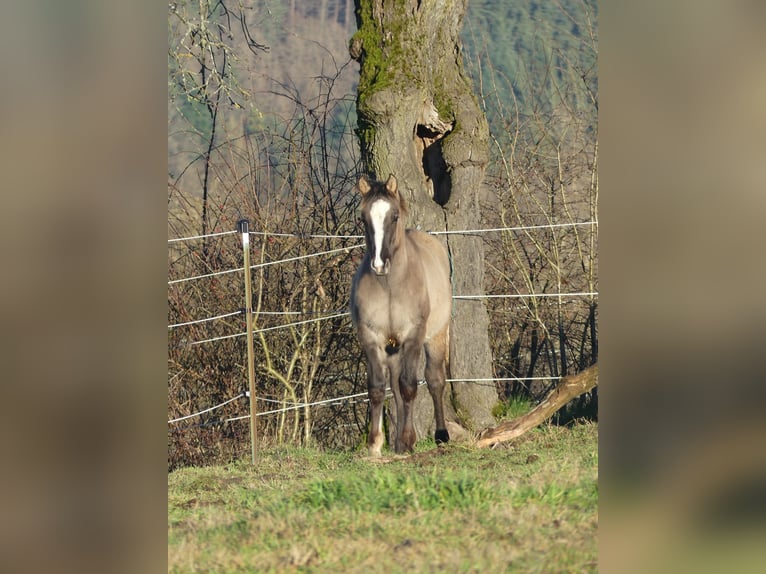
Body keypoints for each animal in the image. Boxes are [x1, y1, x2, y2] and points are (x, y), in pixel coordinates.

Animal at [352, 173, 452, 456]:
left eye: (394, 216)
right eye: (363, 217)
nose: (379, 264)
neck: (390, 287)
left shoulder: (413, 337)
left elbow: (409, 386)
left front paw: (407, 442)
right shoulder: (371, 338)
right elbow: (377, 387)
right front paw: (375, 444)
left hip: (436, 337)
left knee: (434, 380)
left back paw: (441, 435)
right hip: (393, 348)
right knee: (394, 385)